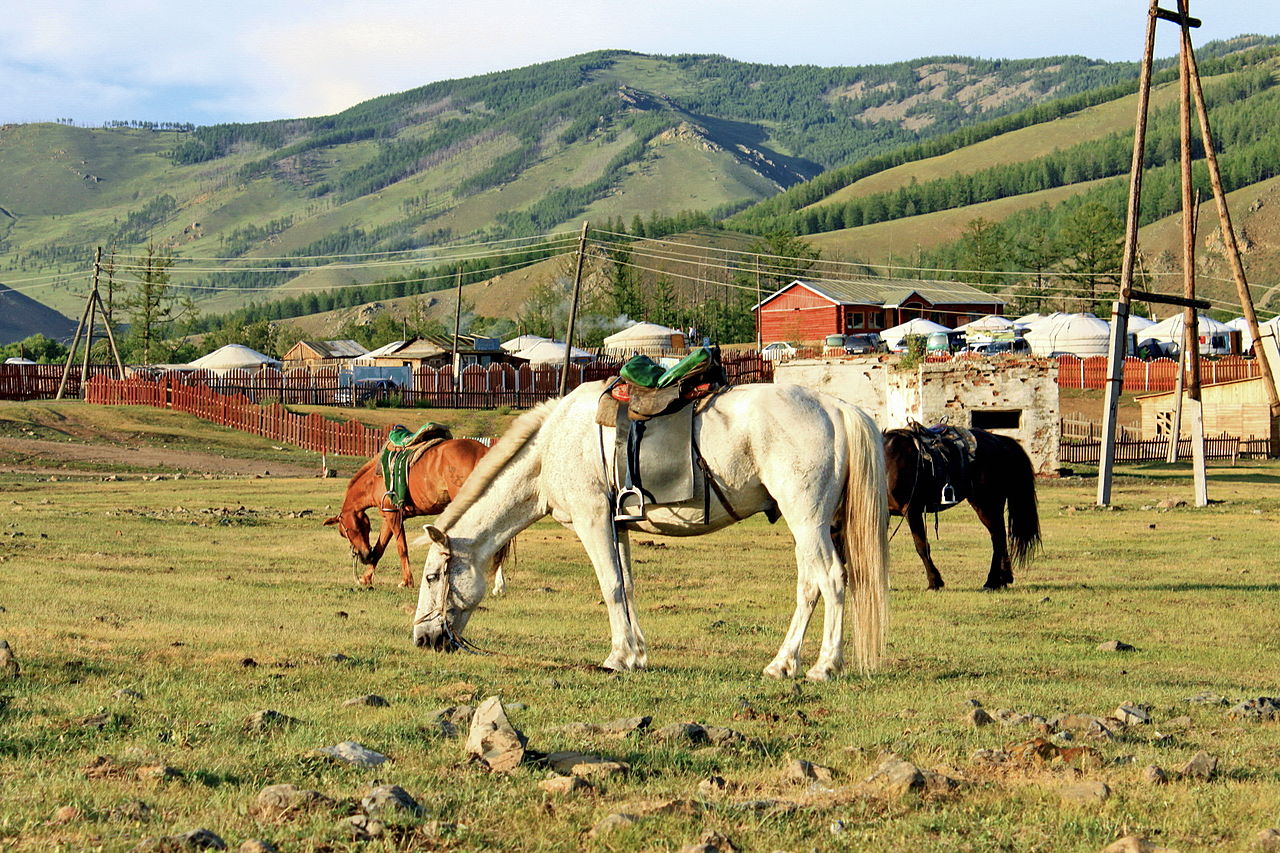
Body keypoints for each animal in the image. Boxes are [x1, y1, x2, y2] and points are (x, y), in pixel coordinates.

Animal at [324, 438, 508, 590]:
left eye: (345, 531)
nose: (363, 555)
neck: (375, 480)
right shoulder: (389, 516)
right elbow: (380, 547)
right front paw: (366, 577)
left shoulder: (394, 517)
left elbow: (401, 548)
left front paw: (406, 581)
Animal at [410, 381, 889, 681]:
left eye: (432, 577)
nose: (422, 639)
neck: (552, 447)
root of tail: (837, 408)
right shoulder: (617, 525)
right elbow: (626, 586)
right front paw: (636, 654)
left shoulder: (592, 520)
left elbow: (610, 588)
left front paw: (617, 657)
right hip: (810, 526)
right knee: (810, 585)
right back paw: (783, 663)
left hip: (806, 520)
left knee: (830, 579)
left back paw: (824, 666)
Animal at [882, 426, 1040, 591]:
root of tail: (999, 440)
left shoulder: (912, 510)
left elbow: (921, 546)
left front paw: (934, 582)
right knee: (1000, 538)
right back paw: (1003, 579)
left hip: (986, 504)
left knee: (997, 538)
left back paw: (992, 581)